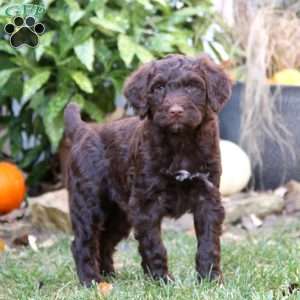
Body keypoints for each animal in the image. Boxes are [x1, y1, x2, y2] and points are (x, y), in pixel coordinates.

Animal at [63, 54, 232, 286]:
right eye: (158, 87)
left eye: (193, 87)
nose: (175, 111)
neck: (180, 142)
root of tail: (84, 129)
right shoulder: (146, 202)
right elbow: (154, 245)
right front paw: (161, 280)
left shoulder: (207, 195)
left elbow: (209, 242)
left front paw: (210, 279)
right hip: (88, 201)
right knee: (83, 242)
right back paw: (92, 281)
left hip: (120, 214)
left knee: (104, 241)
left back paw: (109, 277)